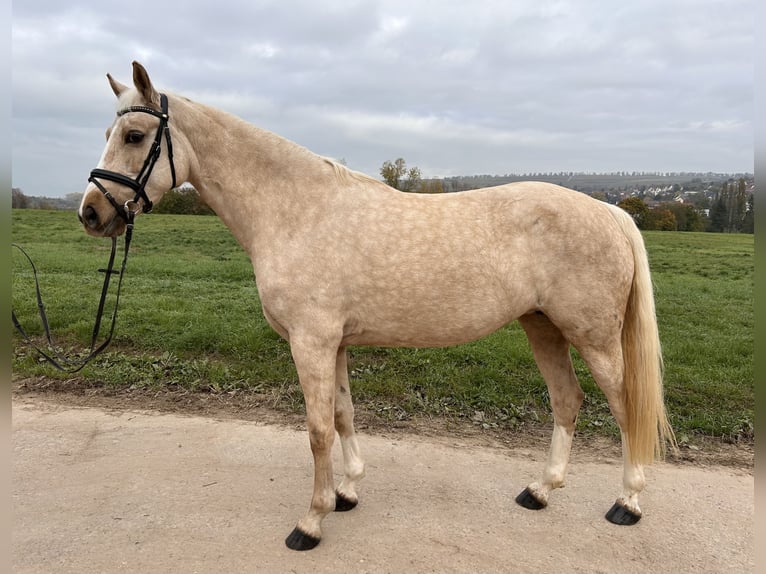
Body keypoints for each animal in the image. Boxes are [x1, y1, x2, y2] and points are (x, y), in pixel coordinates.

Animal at [78, 63, 676, 552]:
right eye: (108, 134)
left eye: (134, 135)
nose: (90, 214)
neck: (297, 212)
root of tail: (610, 211)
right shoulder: (334, 344)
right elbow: (343, 414)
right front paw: (347, 493)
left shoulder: (311, 343)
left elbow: (317, 429)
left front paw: (312, 521)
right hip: (543, 327)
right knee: (567, 400)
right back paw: (541, 490)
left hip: (594, 337)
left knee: (625, 408)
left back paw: (627, 503)